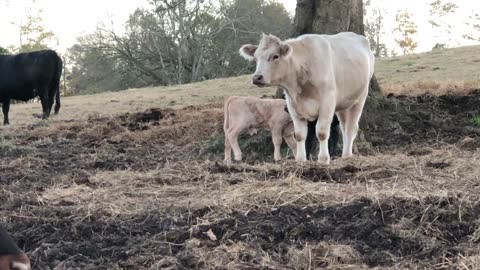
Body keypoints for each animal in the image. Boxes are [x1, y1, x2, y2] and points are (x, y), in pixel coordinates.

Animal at [240, 33, 376, 166]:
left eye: (275, 56)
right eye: (256, 58)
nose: (257, 77)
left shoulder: (327, 103)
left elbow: (322, 132)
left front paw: (323, 159)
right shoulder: (293, 105)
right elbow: (300, 135)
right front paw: (301, 159)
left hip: (360, 98)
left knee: (351, 128)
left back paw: (347, 155)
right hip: (343, 104)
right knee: (344, 127)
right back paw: (344, 155)